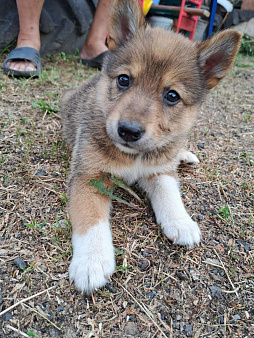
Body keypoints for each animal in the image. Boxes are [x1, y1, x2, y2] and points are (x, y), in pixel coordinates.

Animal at [60, 0, 241, 294]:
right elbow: (90, 218)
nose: (128, 131)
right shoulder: (88, 176)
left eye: (172, 96)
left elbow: (170, 194)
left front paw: (181, 222)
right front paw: (91, 261)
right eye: (124, 80)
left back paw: (185, 154)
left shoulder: (159, 171)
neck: (134, 156)